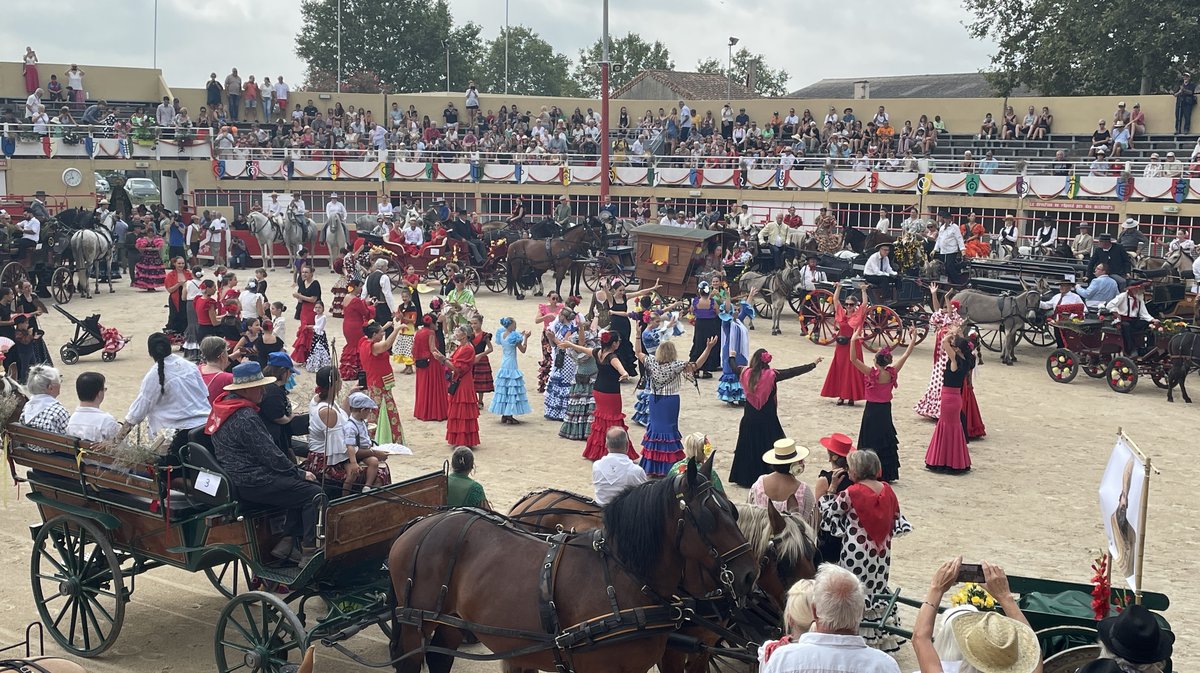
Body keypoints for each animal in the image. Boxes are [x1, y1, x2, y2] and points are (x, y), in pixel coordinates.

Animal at [388, 455, 753, 671]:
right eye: (708, 517)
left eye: (733, 510)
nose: (750, 573)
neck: (624, 582)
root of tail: (420, 523)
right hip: (415, 623)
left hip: (450, 621)